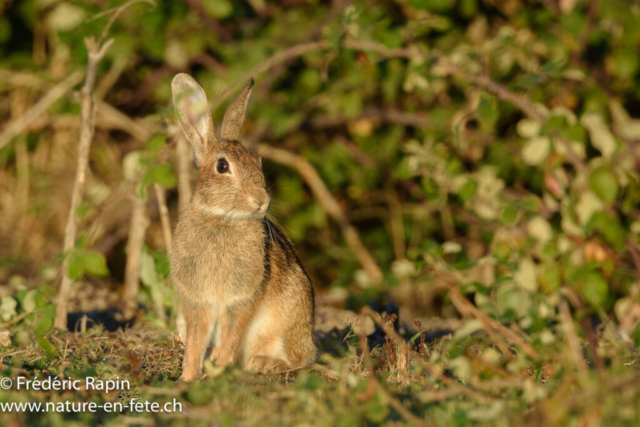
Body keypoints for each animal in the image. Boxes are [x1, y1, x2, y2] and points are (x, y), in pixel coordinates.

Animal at [170, 73, 317, 381]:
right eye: (222, 166)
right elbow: (195, 341)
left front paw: (218, 370)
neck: (223, 218)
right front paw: (188, 377)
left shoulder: (241, 300)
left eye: (258, 162)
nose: (261, 200)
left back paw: (260, 363)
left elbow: (232, 336)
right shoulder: (197, 301)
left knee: (300, 360)